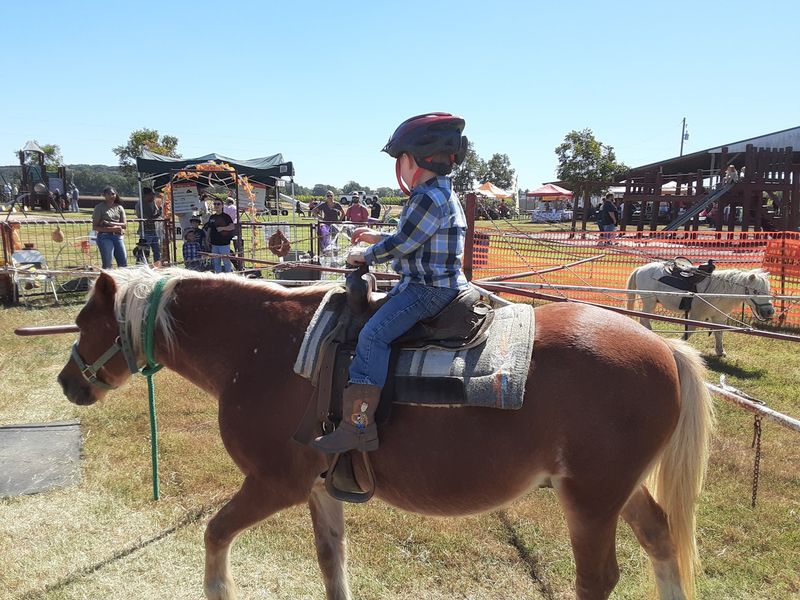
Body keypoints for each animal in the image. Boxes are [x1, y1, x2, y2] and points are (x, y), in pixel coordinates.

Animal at [57, 268, 715, 600]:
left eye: (87, 320)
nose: (68, 382)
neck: (260, 348)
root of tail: (665, 346)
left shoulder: (273, 484)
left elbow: (215, 534)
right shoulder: (319, 489)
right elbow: (331, 562)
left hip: (591, 501)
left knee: (598, 579)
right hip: (619, 492)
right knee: (661, 542)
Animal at [626, 262, 774, 357]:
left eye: (767, 290)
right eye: (756, 291)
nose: (769, 312)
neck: (720, 291)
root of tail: (641, 269)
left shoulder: (719, 317)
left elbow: (719, 333)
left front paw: (720, 351)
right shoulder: (697, 315)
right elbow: (690, 331)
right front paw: (680, 345)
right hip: (649, 302)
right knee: (644, 319)